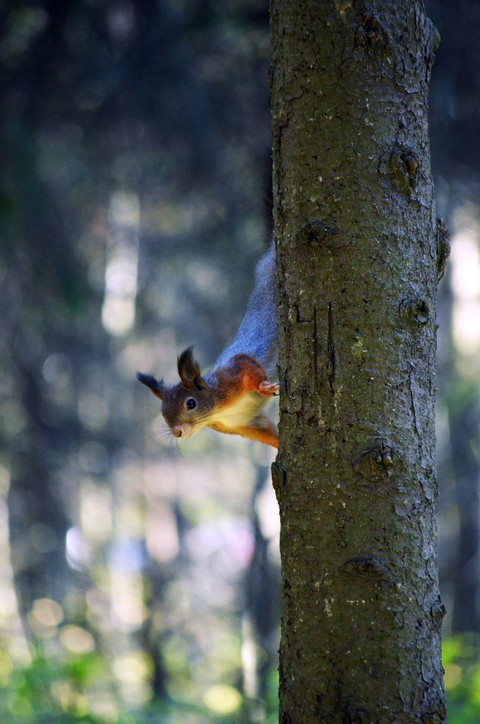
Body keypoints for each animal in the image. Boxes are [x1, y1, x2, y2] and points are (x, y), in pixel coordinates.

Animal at [137, 243, 279, 448]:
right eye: (163, 412)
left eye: (190, 403)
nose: (177, 432)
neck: (219, 411)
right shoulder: (244, 423)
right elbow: (268, 432)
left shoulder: (231, 374)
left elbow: (248, 364)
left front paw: (263, 387)